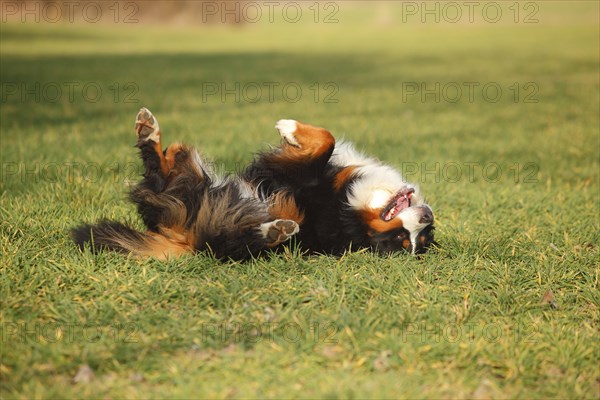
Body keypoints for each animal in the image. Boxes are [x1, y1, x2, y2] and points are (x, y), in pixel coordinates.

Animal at [72, 108, 434, 260]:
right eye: (405, 238)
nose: (427, 216)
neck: (350, 209)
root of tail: (181, 236)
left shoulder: (302, 179)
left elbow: (323, 144)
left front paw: (288, 128)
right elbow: (327, 139)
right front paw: (292, 129)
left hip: (209, 213)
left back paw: (275, 231)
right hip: (197, 174)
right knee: (169, 160)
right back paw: (151, 132)